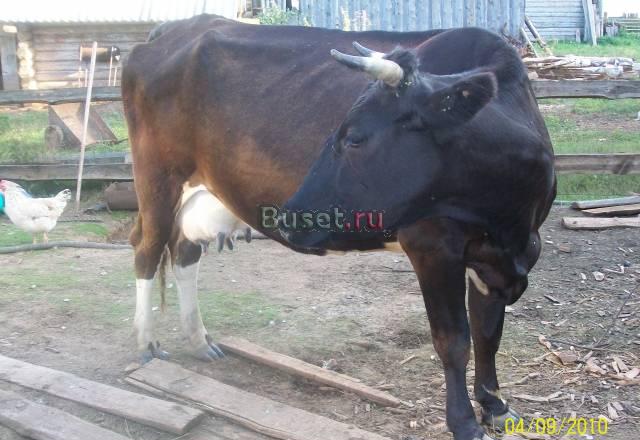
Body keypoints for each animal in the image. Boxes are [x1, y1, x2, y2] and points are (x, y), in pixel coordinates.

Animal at [122, 14, 555, 440]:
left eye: (356, 138)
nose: (289, 216)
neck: (507, 226)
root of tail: (174, 28)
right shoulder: (433, 246)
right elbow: (454, 340)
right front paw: (464, 422)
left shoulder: (503, 255)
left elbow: (487, 332)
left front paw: (495, 406)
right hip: (158, 178)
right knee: (147, 249)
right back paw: (145, 343)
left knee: (185, 252)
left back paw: (199, 341)